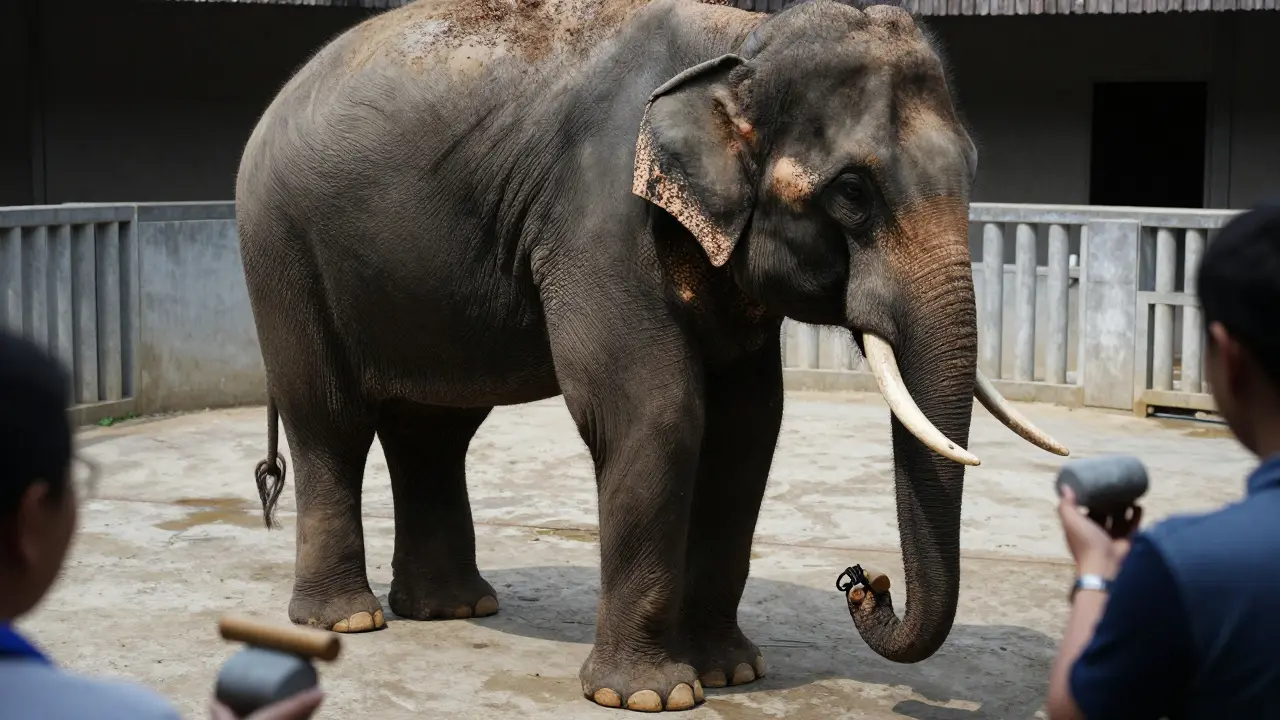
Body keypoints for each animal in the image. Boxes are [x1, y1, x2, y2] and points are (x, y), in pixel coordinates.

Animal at [235, 0, 1069, 711]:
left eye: (971, 170)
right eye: (853, 192)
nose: (864, 583)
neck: (743, 44)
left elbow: (747, 427)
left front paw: (731, 673)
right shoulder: (601, 218)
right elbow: (656, 412)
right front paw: (648, 696)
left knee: (434, 431)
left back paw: (452, 608)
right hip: (281, 251)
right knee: (330, 423)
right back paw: (347, 623)